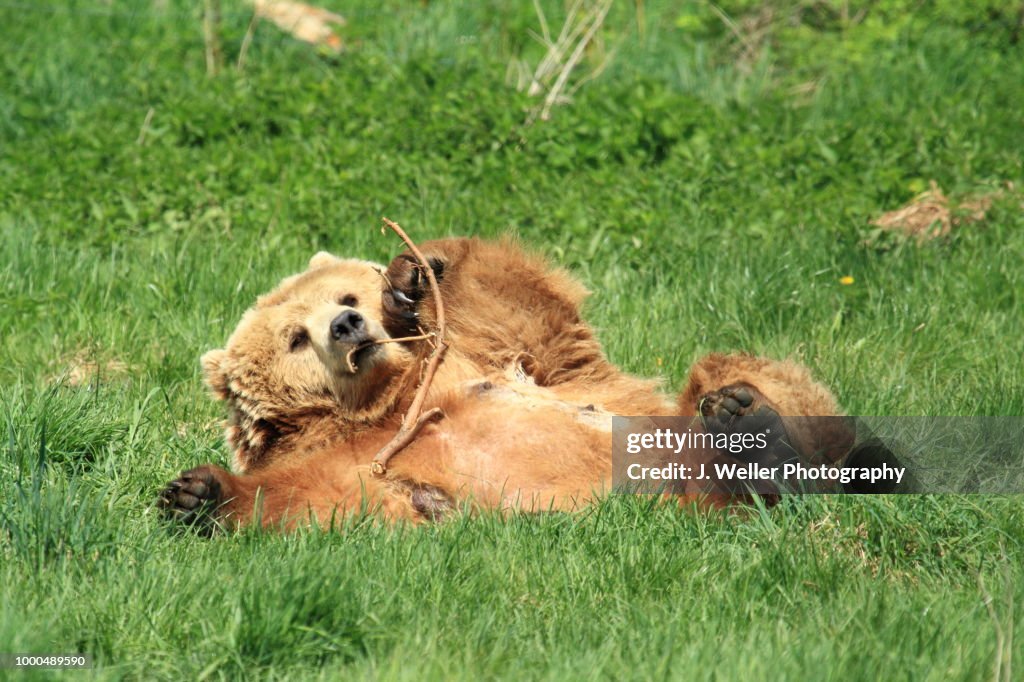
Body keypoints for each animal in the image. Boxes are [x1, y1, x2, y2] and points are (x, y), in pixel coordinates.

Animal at [159, 237, 852, 531]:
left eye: (346, 296)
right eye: (295, 338)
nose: (348, 324)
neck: (393, 398)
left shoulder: (487, 356)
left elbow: (526, 314)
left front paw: (417, 271)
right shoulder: (359, 457)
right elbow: (319, 496)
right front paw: (195, 494)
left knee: (738, 376)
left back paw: (748, 418)